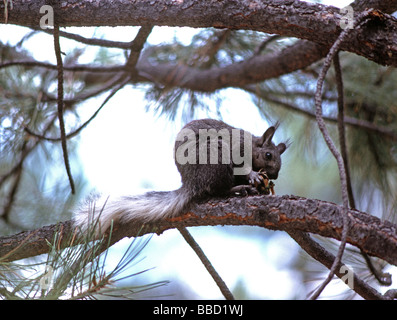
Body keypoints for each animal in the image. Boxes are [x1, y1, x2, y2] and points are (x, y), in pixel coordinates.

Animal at [73, 119, 284, 234]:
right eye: (268, 155)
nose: (274, 175)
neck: (252, 144)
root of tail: (191, 183)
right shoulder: (236, 148)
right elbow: (243, 166)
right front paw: (253, 176)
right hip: (215, 156)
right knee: (218, 190)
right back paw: (238, 189)